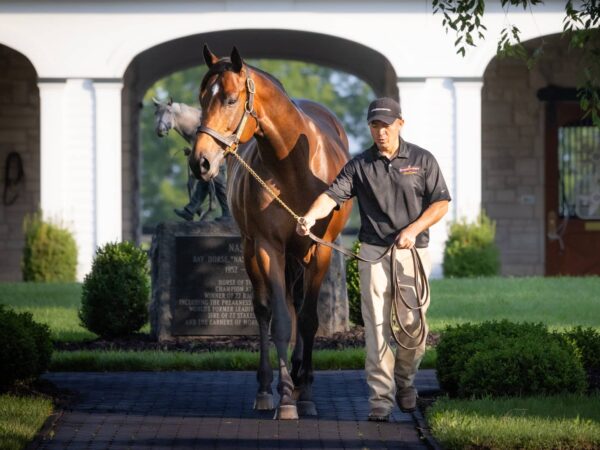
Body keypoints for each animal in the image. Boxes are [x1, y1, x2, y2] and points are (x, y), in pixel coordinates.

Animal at [190, 45, 352, 418]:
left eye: (230, 99)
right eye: (202, 98)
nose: (199, 162)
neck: (292, 167)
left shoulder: (320, 249)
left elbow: (307, 320)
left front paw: (305, 393)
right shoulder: (268, 247)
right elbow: (280, 320)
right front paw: (287, 398)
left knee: (298, 306)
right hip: (251, 250)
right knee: (263, 310)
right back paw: (266, 389)